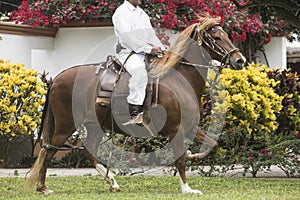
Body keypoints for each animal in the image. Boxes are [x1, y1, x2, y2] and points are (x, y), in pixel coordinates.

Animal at [26, 13, 246, 194]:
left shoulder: (190, 127)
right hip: (65, 125)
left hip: (95, 125)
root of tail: (57, 78)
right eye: (216, 38)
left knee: (88, 151)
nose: (240, 60)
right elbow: (180, 159)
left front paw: (194, 157)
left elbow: (212, 145)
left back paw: (112, 182)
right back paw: (42, 187)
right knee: (48, 150)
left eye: (226, 35)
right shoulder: (176, 129)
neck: (179, 79)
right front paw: (187, 189)